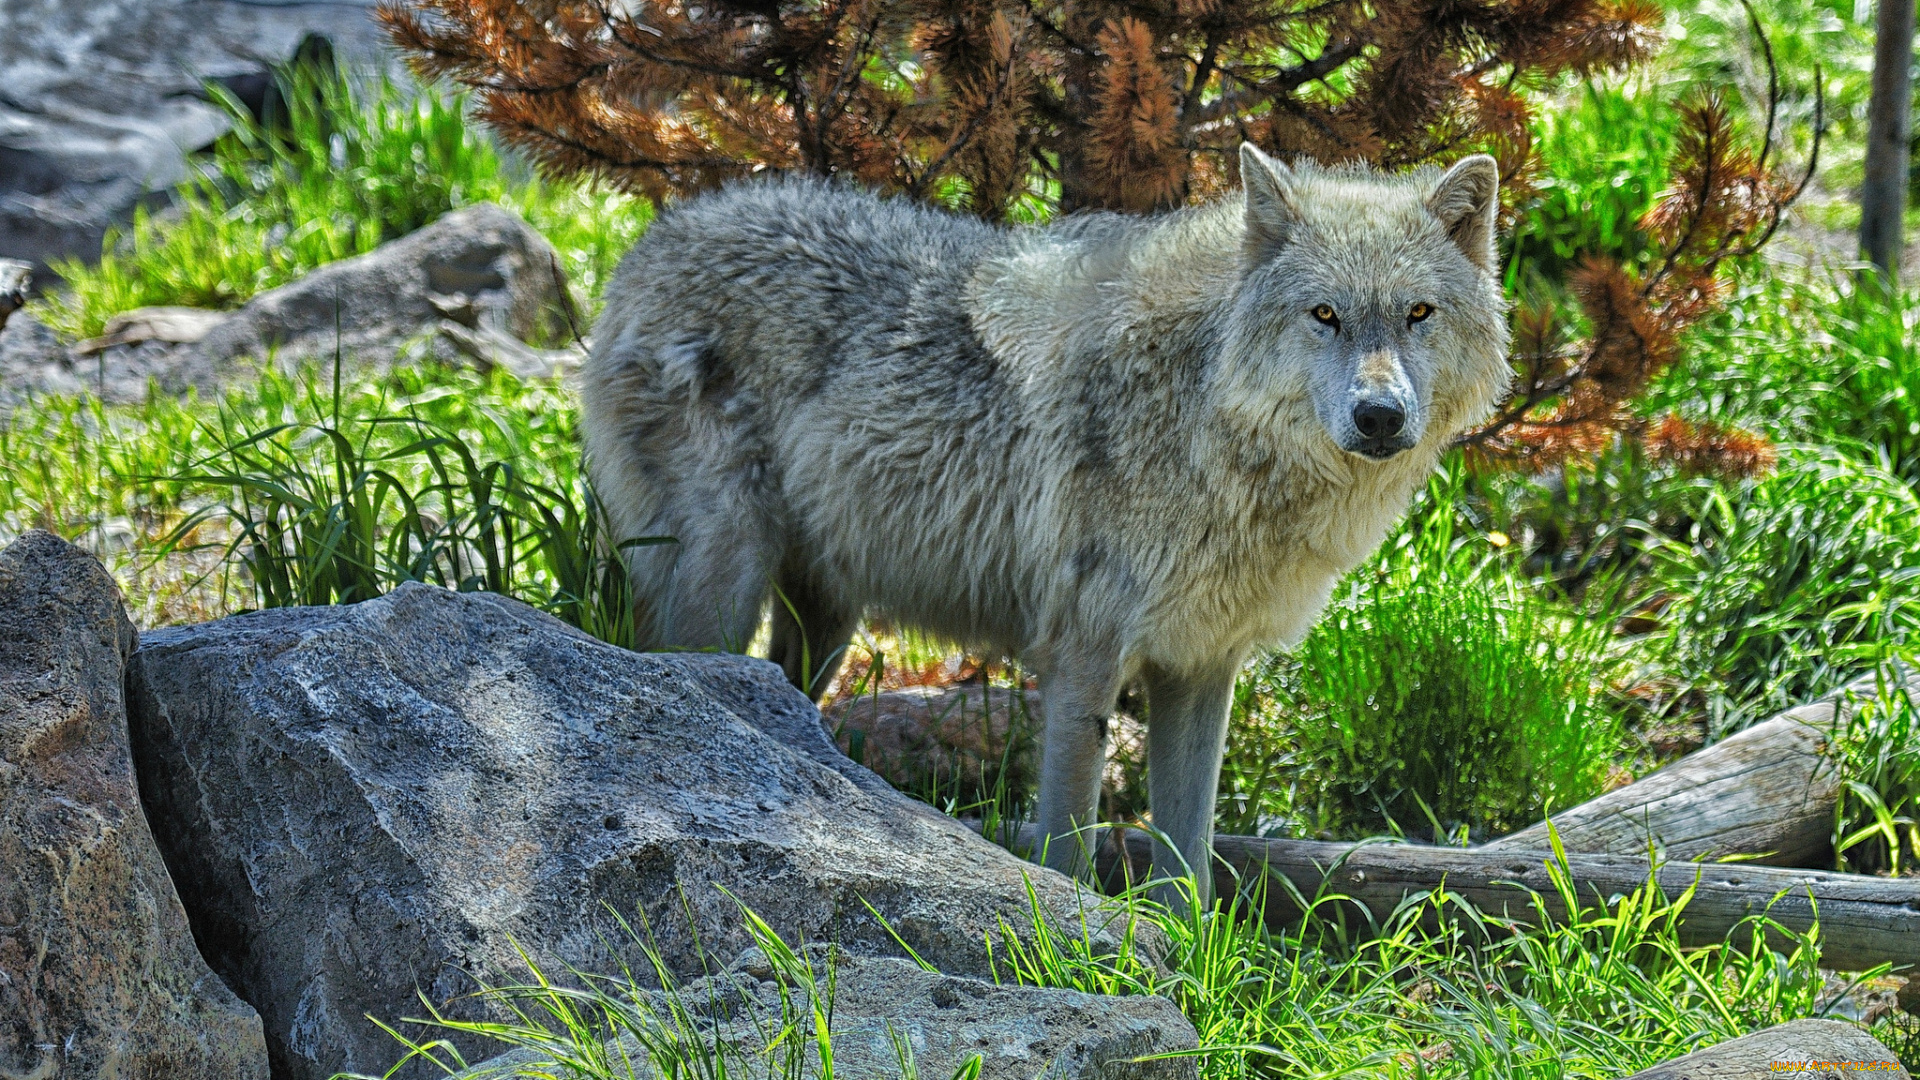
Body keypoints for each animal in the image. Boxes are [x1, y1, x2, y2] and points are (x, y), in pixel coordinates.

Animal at [576, 145, 1505, 899]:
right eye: (1325, 316)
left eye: (1418, 313)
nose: (1380, 416)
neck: (1205, 415)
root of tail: (652, 242)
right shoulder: (1082, 656)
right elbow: (1068, 841)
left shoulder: (1200, 667)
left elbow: (1191, 865)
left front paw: (1187, 965)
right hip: (724, 588)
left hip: (823, 624)